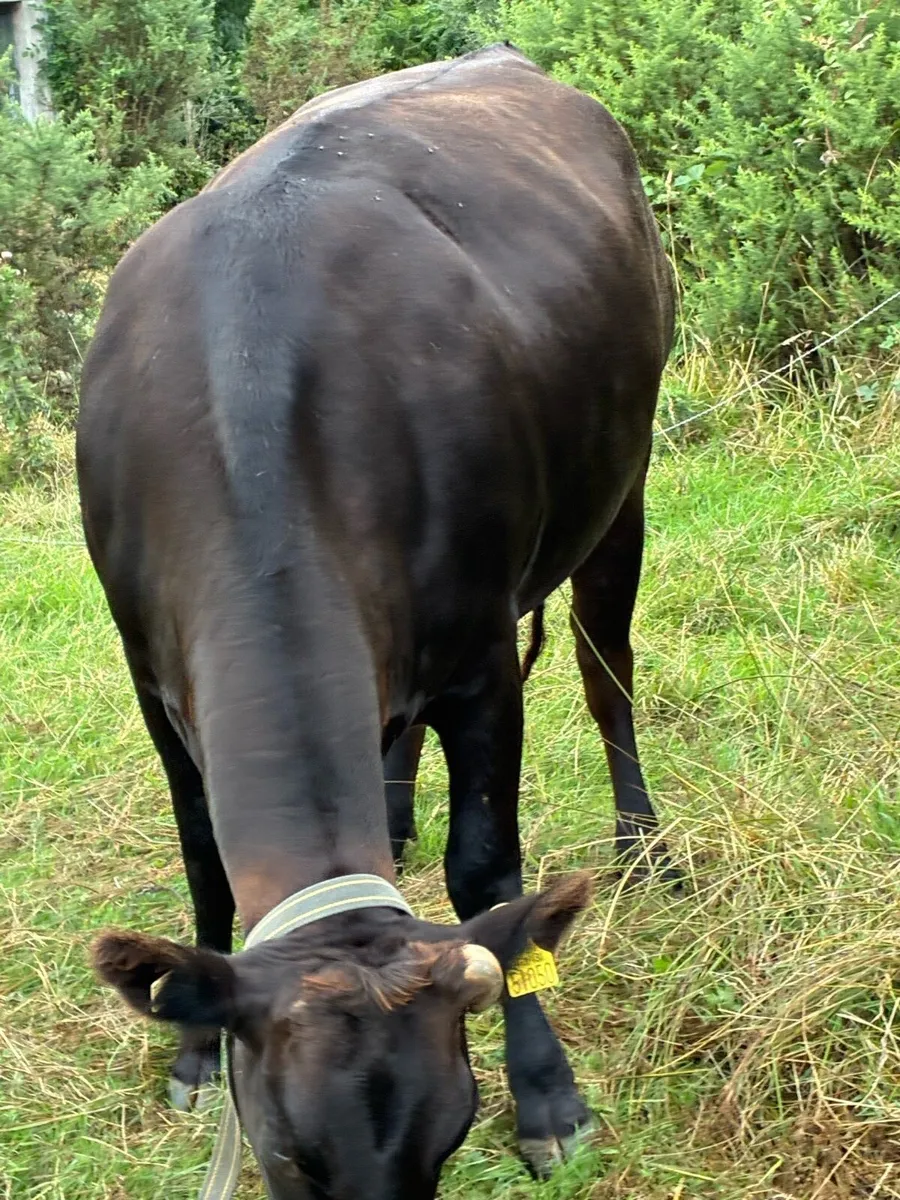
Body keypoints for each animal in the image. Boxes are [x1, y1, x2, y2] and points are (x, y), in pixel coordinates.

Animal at [78, 43, 674, 1200]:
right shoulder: (149, 678)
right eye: (286, 1155)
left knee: (605, 668)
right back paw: (392, 820)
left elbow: (488, 874)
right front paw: (192, 1051)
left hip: (621, 482)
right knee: (394, 729)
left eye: (453, 1132)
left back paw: (645, 843)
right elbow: (202, 858)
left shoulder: (483, 661)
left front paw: (548, 1096)